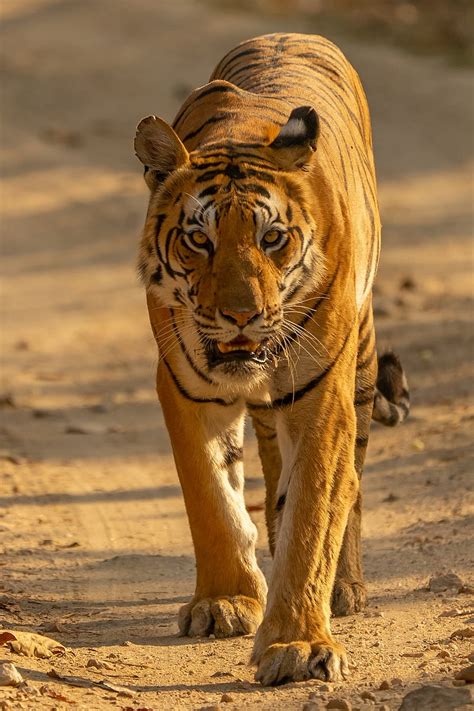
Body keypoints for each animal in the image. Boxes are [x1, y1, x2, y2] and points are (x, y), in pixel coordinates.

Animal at [135, 32, 410, 684]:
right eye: (199, 239)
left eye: (272, 238)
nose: (241, 314)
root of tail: (292, 33)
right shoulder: (185, 388)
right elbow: (211, 496)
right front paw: (225, 601)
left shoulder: (323, 399)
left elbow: (314, 509)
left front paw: (298, 643)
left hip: (361, 364)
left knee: (351, 479)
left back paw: (345, 588)